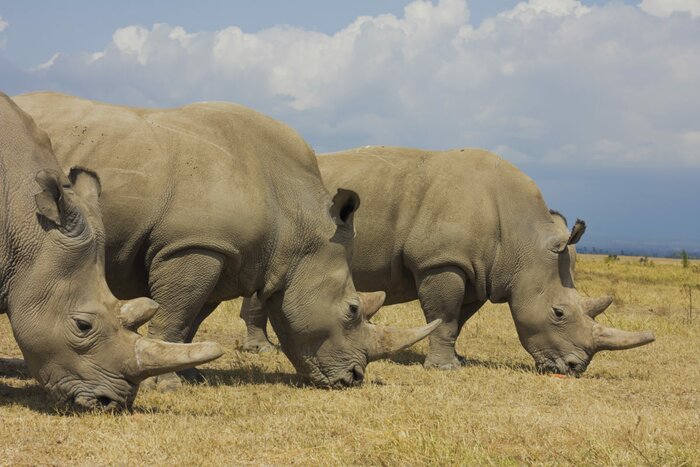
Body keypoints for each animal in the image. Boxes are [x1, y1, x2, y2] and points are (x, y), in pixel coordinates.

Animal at [15, 93, 439, 390]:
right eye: (352, 310)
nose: (353, 378)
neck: (297, 221)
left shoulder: (223, 251)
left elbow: (191, 316)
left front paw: (191, 377)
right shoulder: (193, 245)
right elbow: (175, 312)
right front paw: (166, 385)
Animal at [241, 146, 655, 375]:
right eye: (558, 313)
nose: (574, 369)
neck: (523, 238)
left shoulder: (479, 270)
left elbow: (457, 320)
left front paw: (456, 360)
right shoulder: (442, 261)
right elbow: (444, 313)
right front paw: (444, 369)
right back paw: (261, 350)